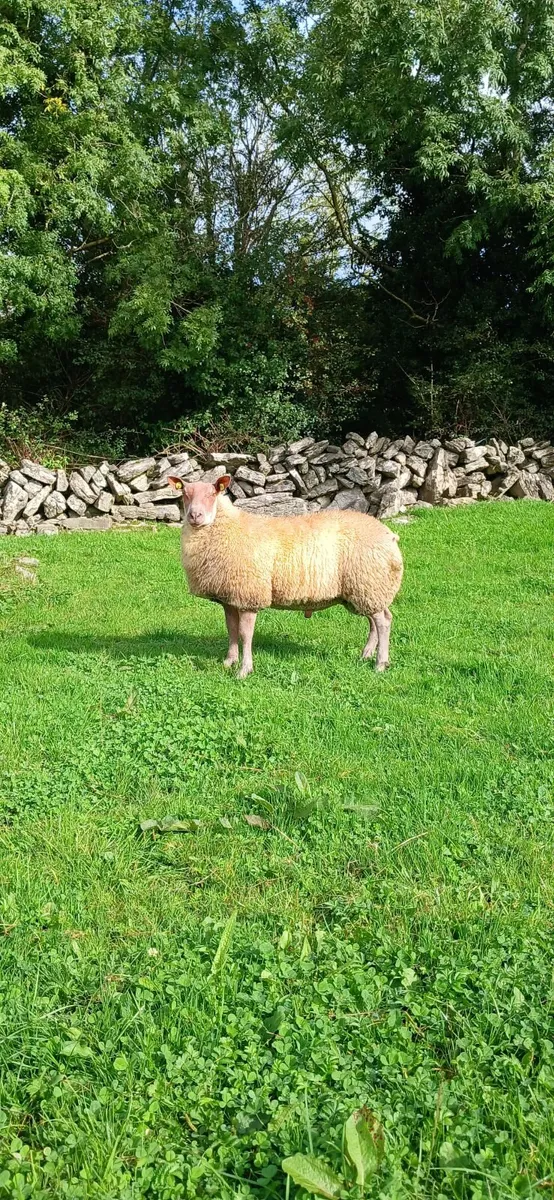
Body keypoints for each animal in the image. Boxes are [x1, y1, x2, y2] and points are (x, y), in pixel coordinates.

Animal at [168, 474, 403, 678]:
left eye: (212, 493)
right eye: (185, 493)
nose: (194, 516)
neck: (226, 528)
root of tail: (389, 535)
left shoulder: (249, 596)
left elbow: (245, 634)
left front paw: (244, 670)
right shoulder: (229, 598)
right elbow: (232, 630)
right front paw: (229, 662)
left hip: (369, 582)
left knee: (383, 622)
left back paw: (380, 663)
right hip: (363, 590)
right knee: (374, 621)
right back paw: (366, 655)